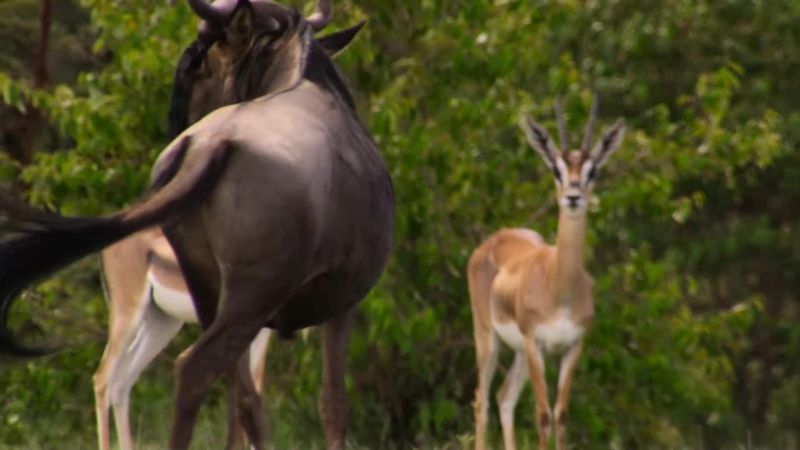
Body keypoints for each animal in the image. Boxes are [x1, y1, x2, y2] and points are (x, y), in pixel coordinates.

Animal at [94, 228, 273, 450]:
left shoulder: (262, 331)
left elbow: (254, 391)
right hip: (128, 317)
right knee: (102, 380)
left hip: (162, 324)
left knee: (121, 383)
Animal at [468, 96, 624, 450]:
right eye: (556, 168)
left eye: (593, 170)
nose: (573, 196)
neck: (559, 286)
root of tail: (492, 241)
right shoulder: (535, 343)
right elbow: (542, 416)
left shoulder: (573, 346)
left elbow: (561, 416)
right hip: (489, 338)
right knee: (481, 399)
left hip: (519, 355)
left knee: (504, 397)